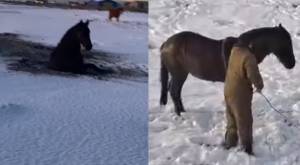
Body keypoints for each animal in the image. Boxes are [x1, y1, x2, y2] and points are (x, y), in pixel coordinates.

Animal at [159, 23, 296, 115]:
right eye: (286, 43)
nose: (292, 64)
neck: (245, 48)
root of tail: (166, 44)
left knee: (175, 91)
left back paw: (182, 111)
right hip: (179, 74)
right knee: (174, 91)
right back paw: (180, 114)